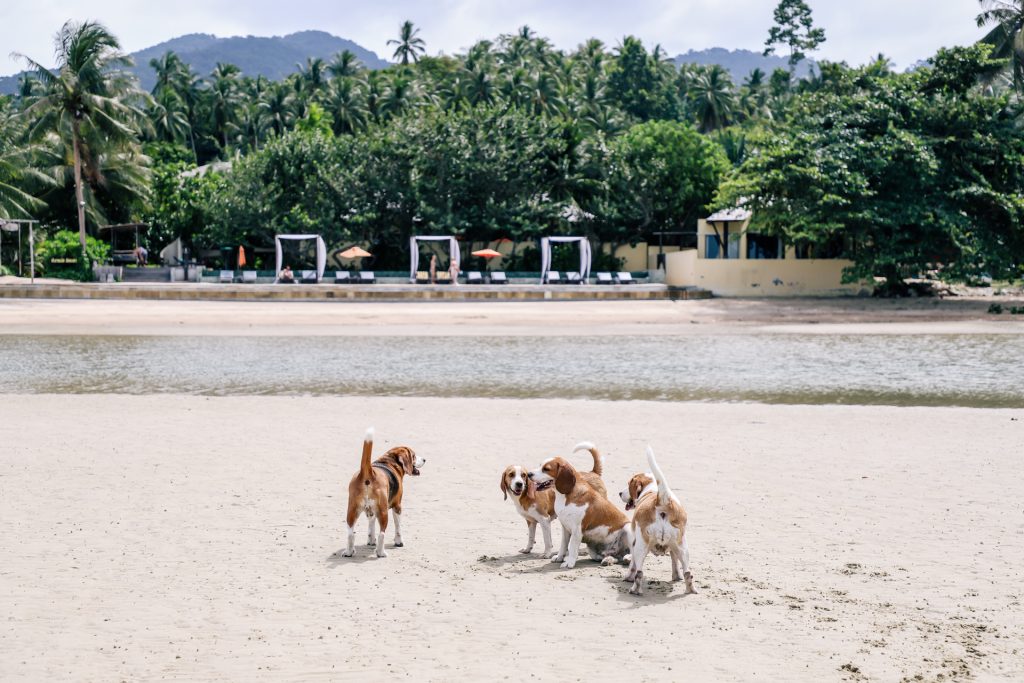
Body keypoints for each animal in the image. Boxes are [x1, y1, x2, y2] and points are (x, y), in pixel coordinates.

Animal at [614, 446, 696, 593]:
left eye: (628, 484)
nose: (620, 493)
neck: (652, 490)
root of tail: (662, 501)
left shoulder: (634, 543)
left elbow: (632, 565)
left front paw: (628, 577)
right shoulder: (674, 548)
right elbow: (675, 562)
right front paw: (676, 576)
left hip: (640, 546)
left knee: (639, 572)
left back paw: (635, 590)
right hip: (683, 547)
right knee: (688, 572)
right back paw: (691, 590)